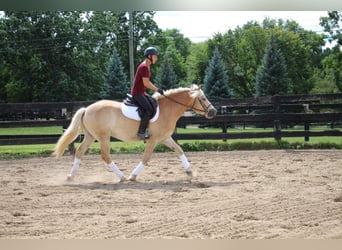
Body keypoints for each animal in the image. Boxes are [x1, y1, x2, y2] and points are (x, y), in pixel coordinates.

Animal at [53, 84, 218, 182]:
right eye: (203, 98)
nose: (213, 112)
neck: (167, 109)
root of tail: (87, 109)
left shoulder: (165, 138)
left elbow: (179, 150)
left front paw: (190, 172)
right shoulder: (153, 141)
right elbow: (146, 158)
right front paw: (133, 175)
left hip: (91, 136)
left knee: (80, 152)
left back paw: (70, 176)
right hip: (103, 137)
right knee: (105, 156)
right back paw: (122, 177)